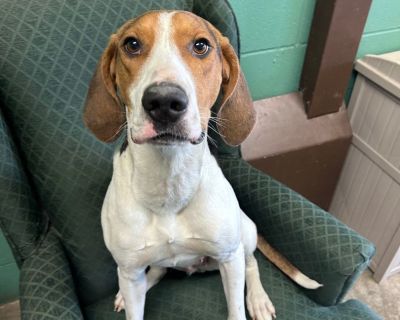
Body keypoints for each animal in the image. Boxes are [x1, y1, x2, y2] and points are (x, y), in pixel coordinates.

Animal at [83, 10, 322, 320]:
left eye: (201, 46)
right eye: (132, 44)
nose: (164, 101)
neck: (169, 181)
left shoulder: (229, 257)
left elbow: (237, 304)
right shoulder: (130, 269)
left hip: (246, 233)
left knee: (252, 263)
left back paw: (258, 299)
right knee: (158, 270)